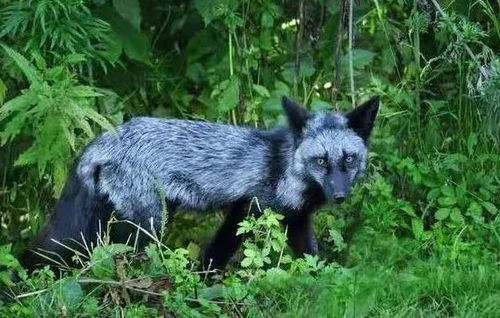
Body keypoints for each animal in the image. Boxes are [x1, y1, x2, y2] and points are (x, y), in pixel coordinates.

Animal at [20, 96, 378, 270]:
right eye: (321, 161)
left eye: (348, 159)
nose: (340, 195)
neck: (284, 169)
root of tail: (103, 139)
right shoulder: (247, 210)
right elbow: (216, 254)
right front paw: (203, 283)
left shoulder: (296, 220)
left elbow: (310, 257)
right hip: (147, 225)